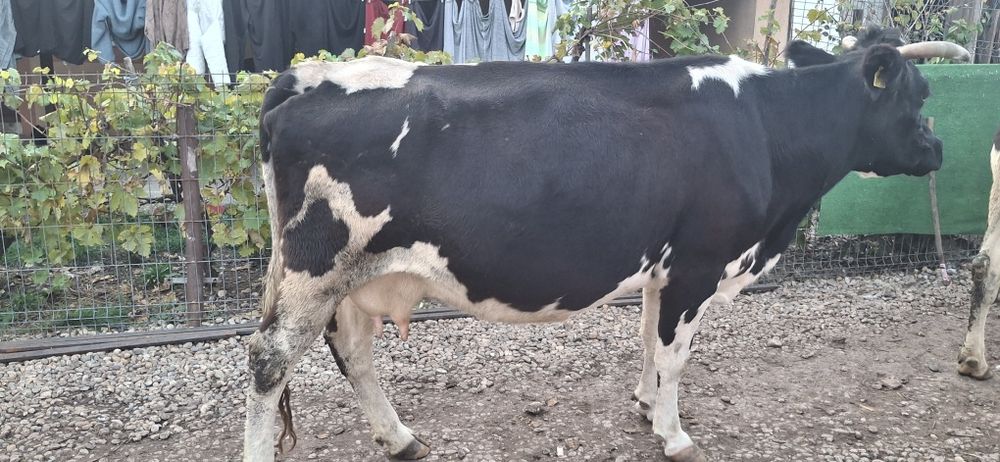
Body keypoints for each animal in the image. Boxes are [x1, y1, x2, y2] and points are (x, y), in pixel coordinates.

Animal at [243, 28, 970, 461]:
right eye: (918, 95)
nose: (939, 149)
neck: (767, 130)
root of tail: (302, 78)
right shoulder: (699, 263)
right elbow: (675, 354)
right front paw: (674, 433)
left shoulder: (663, 266)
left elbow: (650, 341)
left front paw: (647, 406)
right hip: (317, 266)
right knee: (270, 360)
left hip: (355, 277)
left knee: (352, 352)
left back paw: (399, 437)